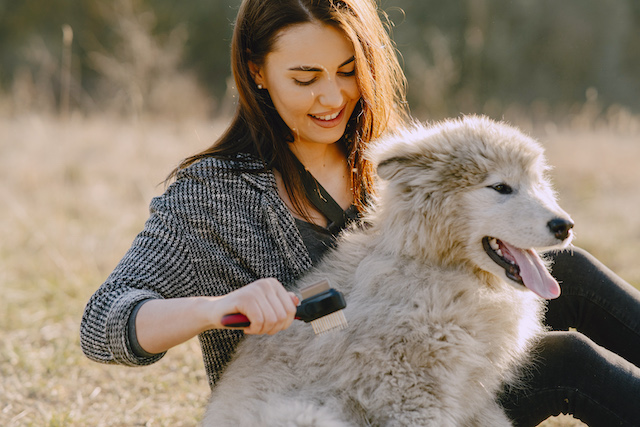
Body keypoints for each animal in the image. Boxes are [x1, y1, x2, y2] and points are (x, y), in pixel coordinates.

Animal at [204, 117, 576, 427]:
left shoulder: (471, 400)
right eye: (500, 187)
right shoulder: (410, 395)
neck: (431, 266)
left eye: (538, 183)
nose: (565, 226)